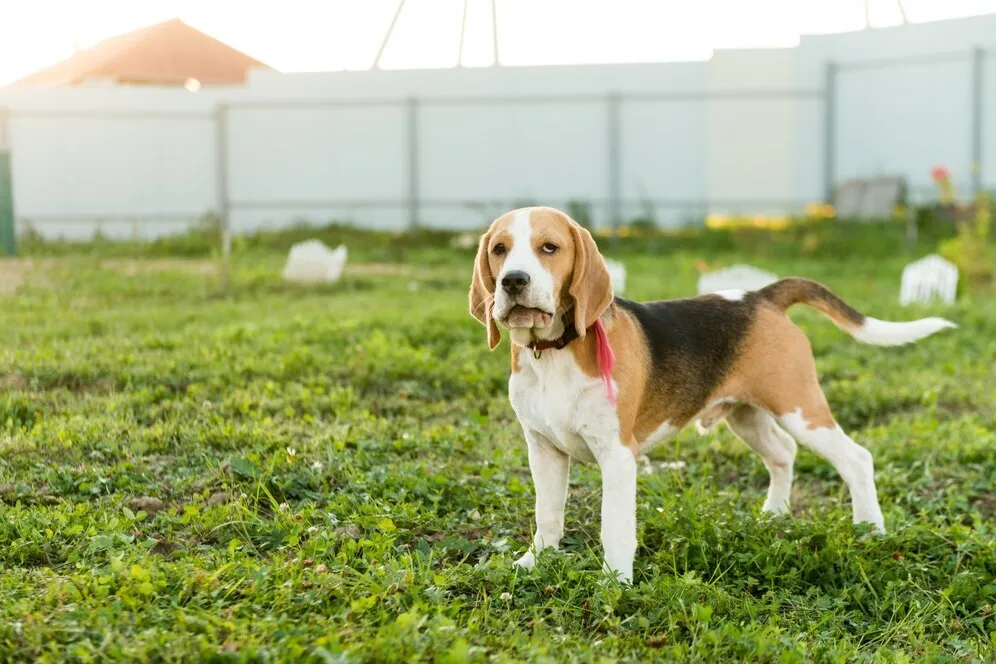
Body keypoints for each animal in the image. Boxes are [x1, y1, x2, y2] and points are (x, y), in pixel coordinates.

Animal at [470, 206, 952, 580]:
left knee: (856, 458)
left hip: (799, 407)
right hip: (746, 414)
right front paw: (536, 562)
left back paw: (870, 528)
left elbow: (615, 527)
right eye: (499, 250)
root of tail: (762, 296)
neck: (553, 352)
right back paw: (774, 514)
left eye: (549, 248)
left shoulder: (617, 455)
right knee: (784, 453)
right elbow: (547, 514)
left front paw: (615, 581)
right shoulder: (543, 449)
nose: (513, 282)